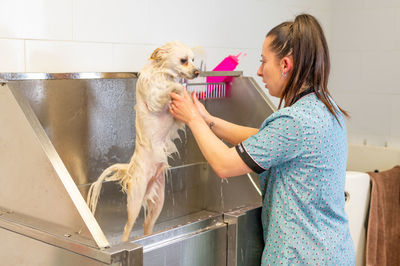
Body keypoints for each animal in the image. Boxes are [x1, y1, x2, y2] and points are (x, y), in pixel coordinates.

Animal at [87, 41, 200, 241]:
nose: (197, 72)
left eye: (194, 60)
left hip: (158, 201)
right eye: (183, 60)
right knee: (127, 228)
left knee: (148, 224)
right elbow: (171, 88)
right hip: (135, 200)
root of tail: (130, 168)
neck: (161, 73)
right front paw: (180, 89)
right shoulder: (155, 99)